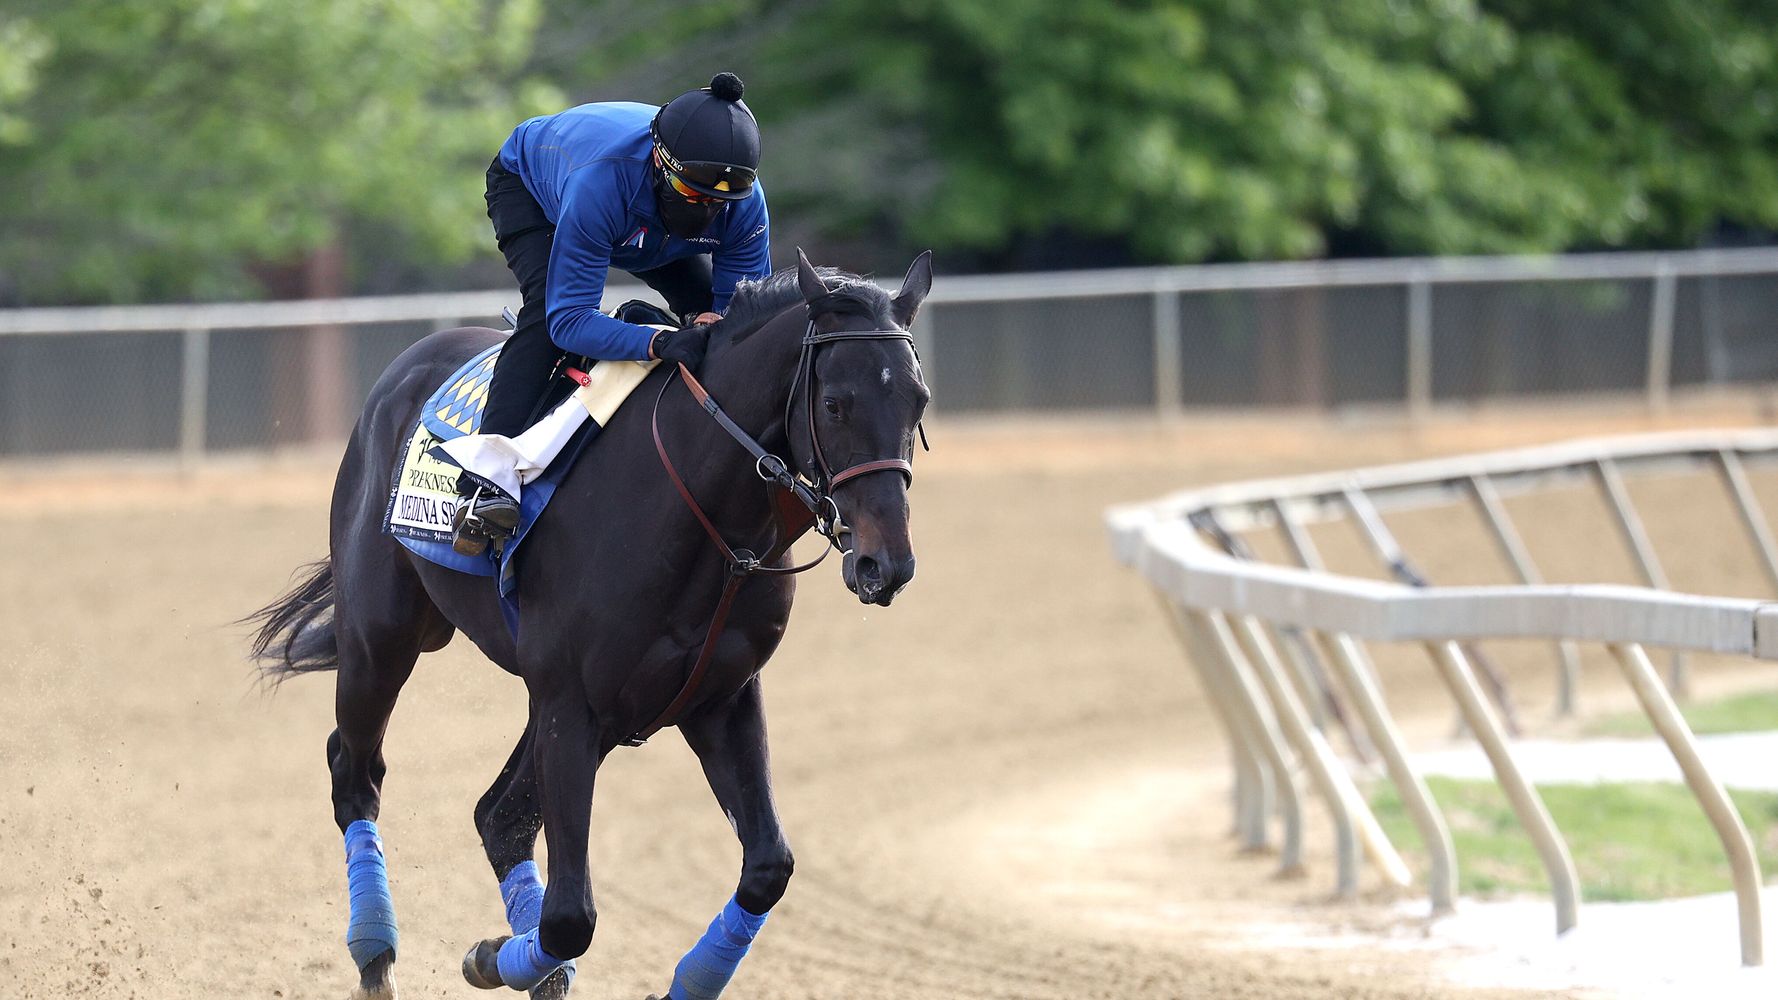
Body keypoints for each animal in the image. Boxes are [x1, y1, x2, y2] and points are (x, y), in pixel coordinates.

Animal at [252, 249, 945, 996]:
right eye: (835, 403)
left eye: (918, 400)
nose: (885, 563)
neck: (703, 515)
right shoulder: (571, 703)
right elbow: (569, 918)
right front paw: (495, 955)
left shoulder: (716, 699)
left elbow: (767, 868)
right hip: (381, 638)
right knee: (356, 773)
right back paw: (376, 952)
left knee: (498, 816)